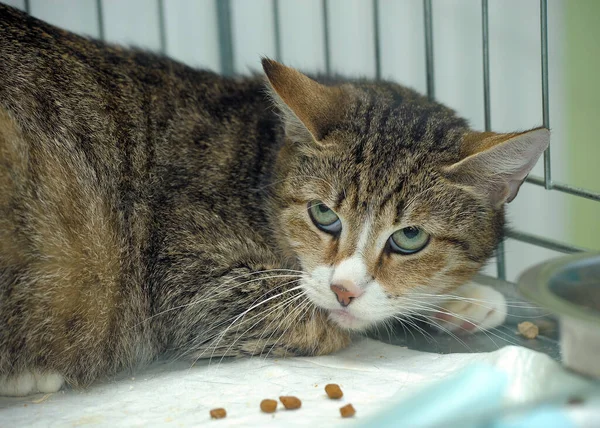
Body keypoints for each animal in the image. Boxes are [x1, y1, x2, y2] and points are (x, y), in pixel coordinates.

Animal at [0, 4, 548, 398]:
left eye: (409, 237)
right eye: (324, 214)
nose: (345, 289)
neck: (258, 166)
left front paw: (463, 297)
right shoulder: (197, 282)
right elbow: (314, 318)